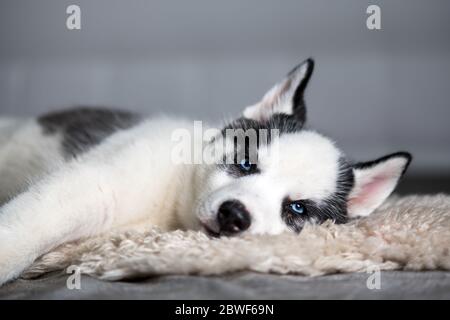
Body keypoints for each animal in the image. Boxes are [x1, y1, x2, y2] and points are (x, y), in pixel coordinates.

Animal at [0, 59, 412, 284]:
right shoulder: (93, 185)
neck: (175, 194)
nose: (233, 216)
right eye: (245, 163)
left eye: (296, 208)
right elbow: (26, 226)